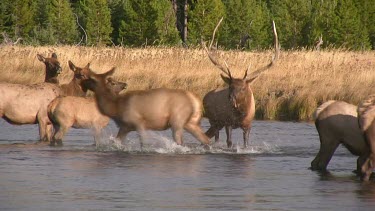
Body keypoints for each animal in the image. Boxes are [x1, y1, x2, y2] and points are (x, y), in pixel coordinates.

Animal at [84, 67, 212, 148]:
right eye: (114, 81)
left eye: (92, 80)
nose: (125, 84)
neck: (116, 108)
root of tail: (194, 99)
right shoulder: (125, 127)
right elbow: (116, 142)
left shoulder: (138, 122)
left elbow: (144, 143)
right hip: (191, 122)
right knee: (206, 139)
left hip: (178, 119)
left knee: (180, 141)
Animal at [203, 19, 280, 148]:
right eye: (230, 86)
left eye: (243, 88)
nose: (230, 99)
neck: (241, 114)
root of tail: (204, 96)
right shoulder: (228, 122)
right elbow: (229, 142)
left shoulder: (248, 125)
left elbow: (246, 143)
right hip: (213, 119)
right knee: (214, 136)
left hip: (217, 123)